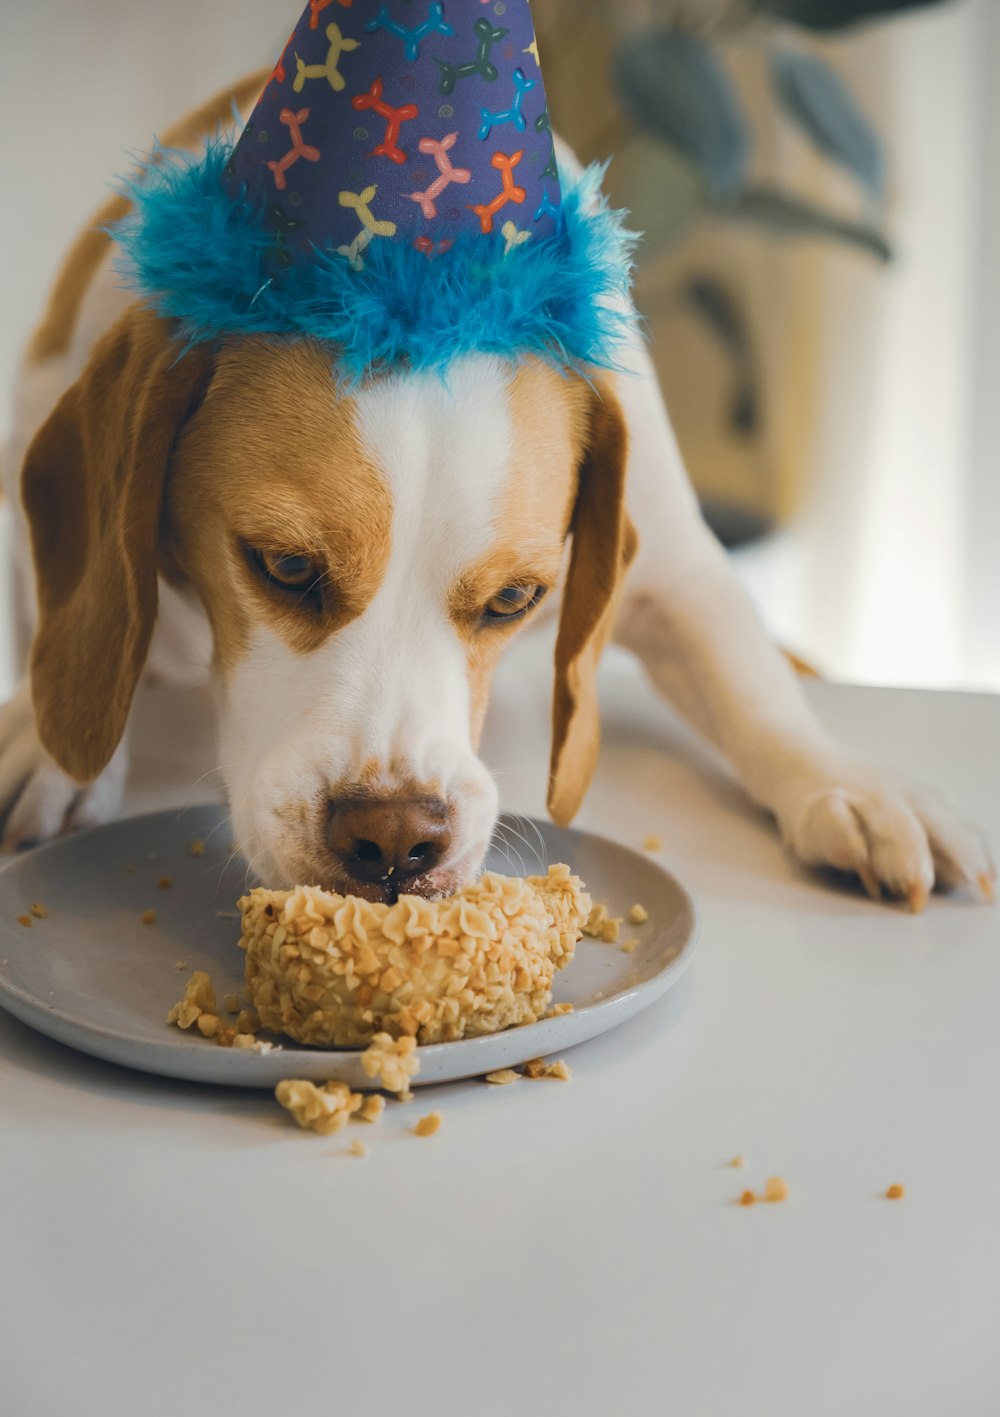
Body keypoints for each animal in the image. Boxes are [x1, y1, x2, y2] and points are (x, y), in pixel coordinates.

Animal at [0, 71, 991, 906]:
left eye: (516, 599)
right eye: (283, 567)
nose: (393, 839)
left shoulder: (675, 561)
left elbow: (753, 686)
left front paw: (852, 782)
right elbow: (81, 622)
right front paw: (50, 745)